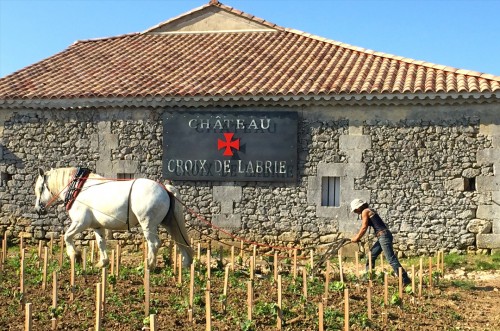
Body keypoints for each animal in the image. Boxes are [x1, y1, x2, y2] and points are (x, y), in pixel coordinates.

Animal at [33, 167, 193, 272]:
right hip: (170, 223)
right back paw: (185, 265)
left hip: (148, 224)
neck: (78, 189)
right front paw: (102, 263)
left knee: (154, 244)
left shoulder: (80, 222)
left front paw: (75, 255)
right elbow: (101, 243)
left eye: (40, 188)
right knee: (179, 241)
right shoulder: (97, 226)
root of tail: (164, 188)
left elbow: (67, 236)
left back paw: (148, 266)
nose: (38, 209)